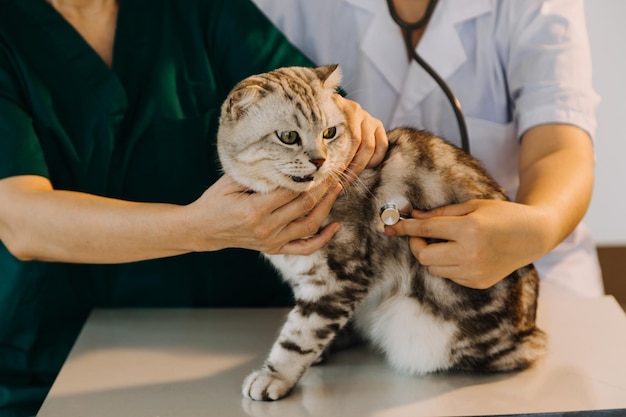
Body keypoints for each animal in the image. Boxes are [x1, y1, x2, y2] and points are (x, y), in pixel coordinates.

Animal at [216, 64, 544, 400]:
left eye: (329, 133)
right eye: (288, 136)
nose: (320, 160)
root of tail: (530, 331)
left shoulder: (338, 278)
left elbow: (300, 337)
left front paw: (275, 377)